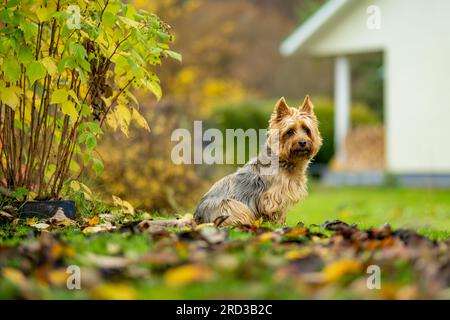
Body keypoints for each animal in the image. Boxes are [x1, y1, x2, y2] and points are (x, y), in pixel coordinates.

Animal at [195, 96, 322, 226]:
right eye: (290, 131)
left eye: (306, 130)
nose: (302, 142)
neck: (285, 161)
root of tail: (198, 217)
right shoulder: (273, 198)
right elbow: (276, 213)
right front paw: (276, 225)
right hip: (232, 206)